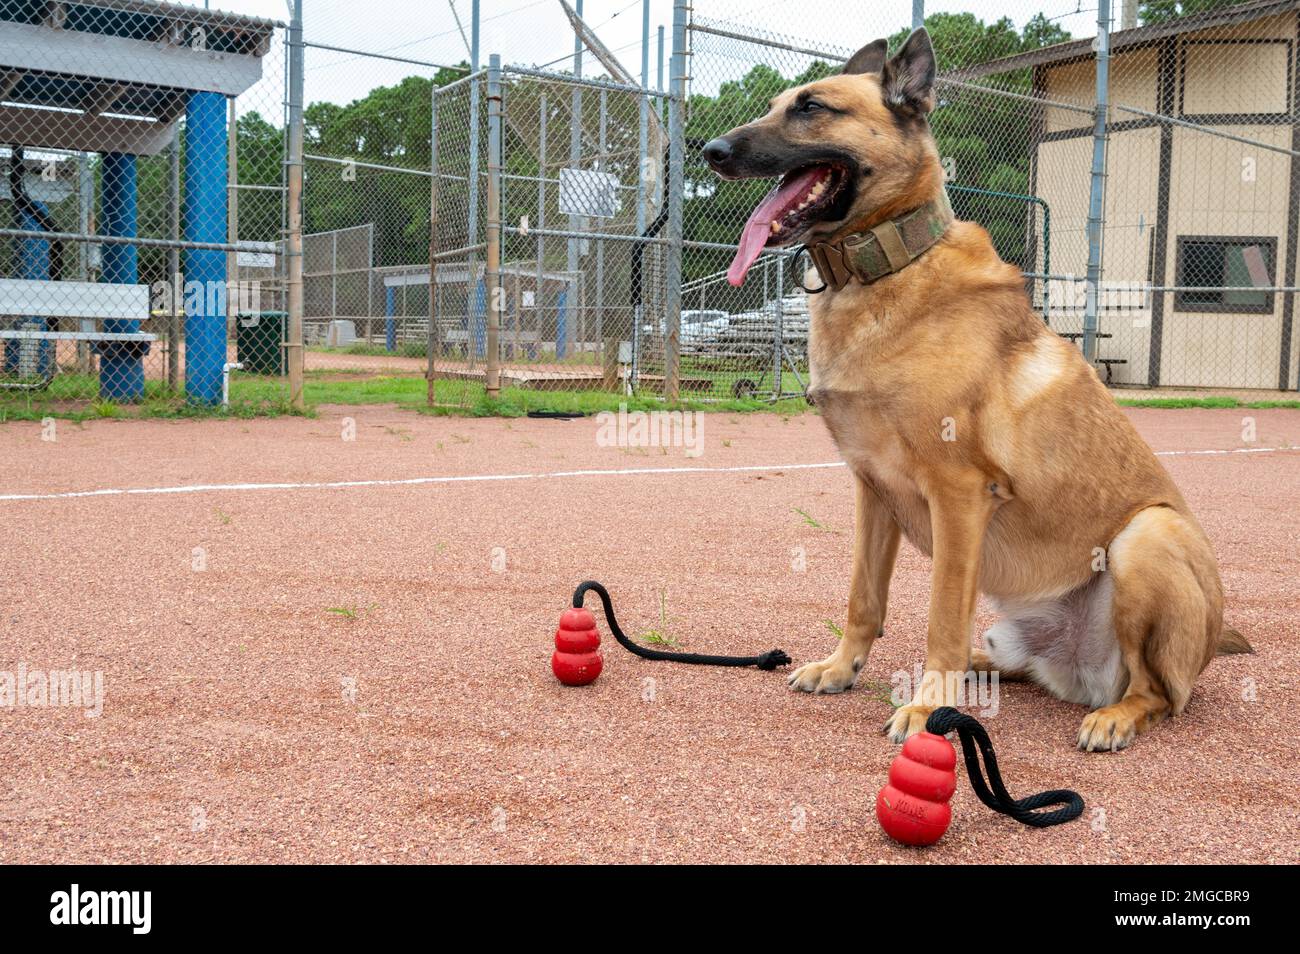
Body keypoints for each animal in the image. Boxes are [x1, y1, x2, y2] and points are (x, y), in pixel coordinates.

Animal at [707, 27, 1253, 753]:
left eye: (813, 107)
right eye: (776, 105)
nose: (711, 151)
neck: (887, 270)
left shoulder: (958, 494)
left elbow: (941, 612)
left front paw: (928, 705)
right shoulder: (873, 491)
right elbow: (863, 598)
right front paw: (843, 667)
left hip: (1147, 536)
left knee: (1158, 693)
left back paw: (1111, 715)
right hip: (1017, 627)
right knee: (1015, 662)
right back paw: (980, 669)